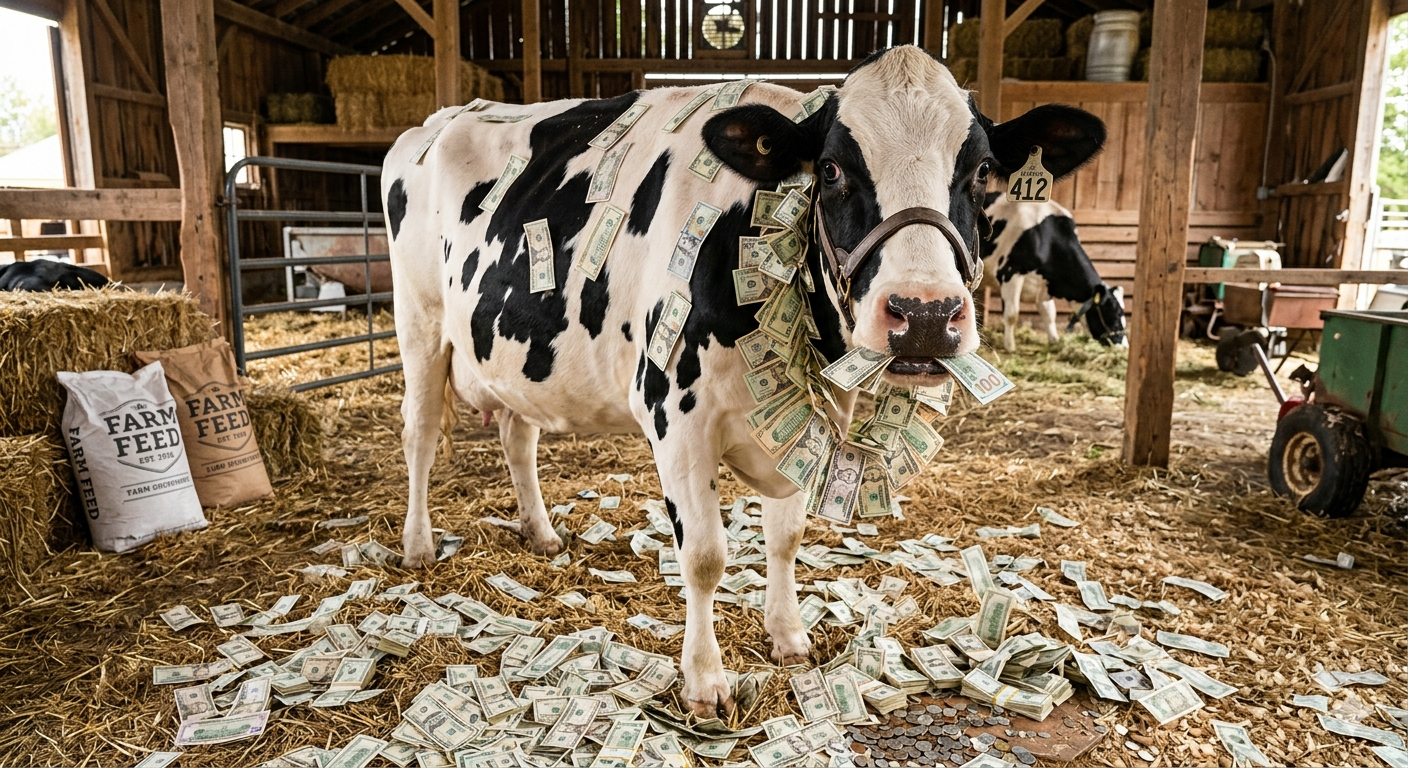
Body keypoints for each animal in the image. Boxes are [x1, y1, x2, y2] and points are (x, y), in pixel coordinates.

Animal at [384, 45, 1105, 716]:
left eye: (982, 171)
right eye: (832, 168)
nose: (925, 315)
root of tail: (435, 123)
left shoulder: (813, 414)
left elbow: (786, 536)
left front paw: (788, 636)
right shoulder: (676, 415)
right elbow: (705, 556)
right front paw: (705, 681)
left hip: (510, 352)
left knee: (517, 436)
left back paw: (540, 531)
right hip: (419, 322)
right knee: (419, 434)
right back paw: (418, 544)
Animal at [980, 194, 1125, 351]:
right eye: (1114, 313)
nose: (1124, 346)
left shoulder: (1045, 285)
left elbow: (1049, 314)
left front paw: (1054, 340)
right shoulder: (1011, 273)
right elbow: (1012, 314)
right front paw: (1010, 346)